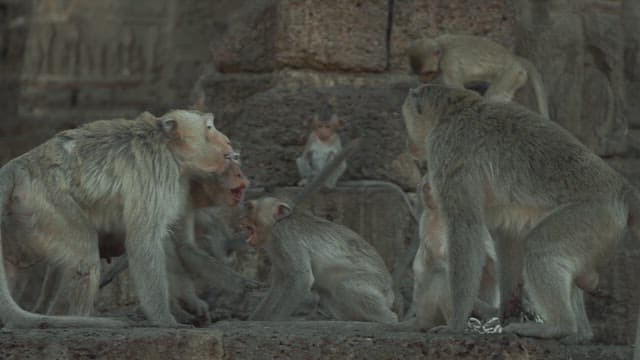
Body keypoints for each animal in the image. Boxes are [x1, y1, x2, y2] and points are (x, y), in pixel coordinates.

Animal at [0, 109, 234, 330]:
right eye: (209, 127)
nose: (227, 141)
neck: (170, 149)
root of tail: (18, 165)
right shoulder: (157, 175)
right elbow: (143, 242)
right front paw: (164, 319)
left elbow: (166, 244)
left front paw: (192, 303)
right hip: (48, 202)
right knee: (85, 260)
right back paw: (72, 319)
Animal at [240, 197, 398, 324]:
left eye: (250, 207)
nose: (241, 218)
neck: (276, 224)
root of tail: (390, 292)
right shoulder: (277, 250)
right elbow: (279, 285)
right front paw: (255, 319)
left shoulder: (286, 237)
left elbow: (302, 279)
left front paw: (274, 320)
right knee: (327, 293)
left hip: (376, 284)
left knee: (345, 286)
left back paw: (389, 319)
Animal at [400, 82, 640, 344]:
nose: (409, 145)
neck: (453, 111)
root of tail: (623, 190)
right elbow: (508, 236)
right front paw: (505, 312)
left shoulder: (447, 151)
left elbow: (465, 226)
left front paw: (455, 323)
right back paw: (581, 334)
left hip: (593, 216)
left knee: (539, 246)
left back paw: (560, 327)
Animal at [404, 34, 552, 118]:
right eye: (420, 74)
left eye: (427, 73)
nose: (422, 79)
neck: (442, 48)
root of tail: (514, 58)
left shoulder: (449, 63)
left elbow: (462, 90)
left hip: (513, 74)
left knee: (493, 96)